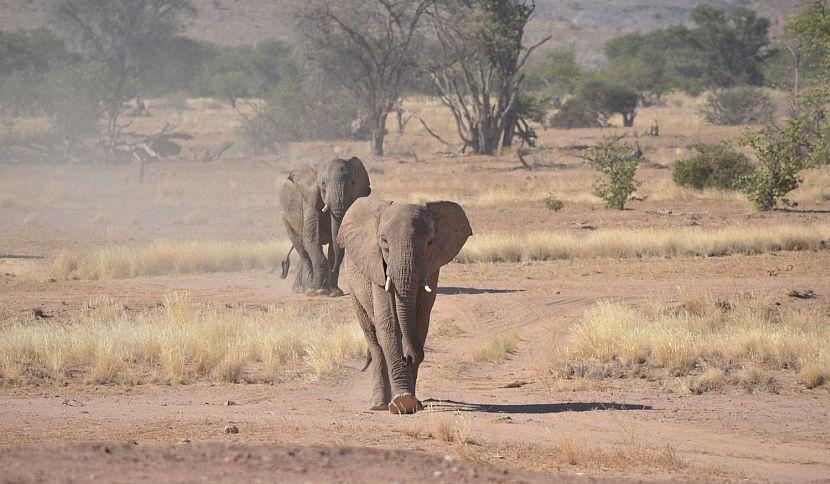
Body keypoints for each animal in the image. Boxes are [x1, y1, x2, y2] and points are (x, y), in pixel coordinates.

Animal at [280, 157, 370, 296]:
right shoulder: (309, 202)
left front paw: (336, 293)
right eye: (323, 183)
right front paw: (321, 291)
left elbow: (335, 244)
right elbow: (311, 238)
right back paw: (306, 289)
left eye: (353, 182)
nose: (332, 269)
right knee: (303, 251)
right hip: (286, 219)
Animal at [334, 197, 472, 412]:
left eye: (430, 242)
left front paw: (411, 403)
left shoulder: (431, 269)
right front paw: (402, 402)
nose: (409, 358)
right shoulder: (378, 268)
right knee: (373, 339)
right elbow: (389, 322)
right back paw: (378, 405)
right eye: (384, 241)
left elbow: (420, 322)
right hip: (353, 286)